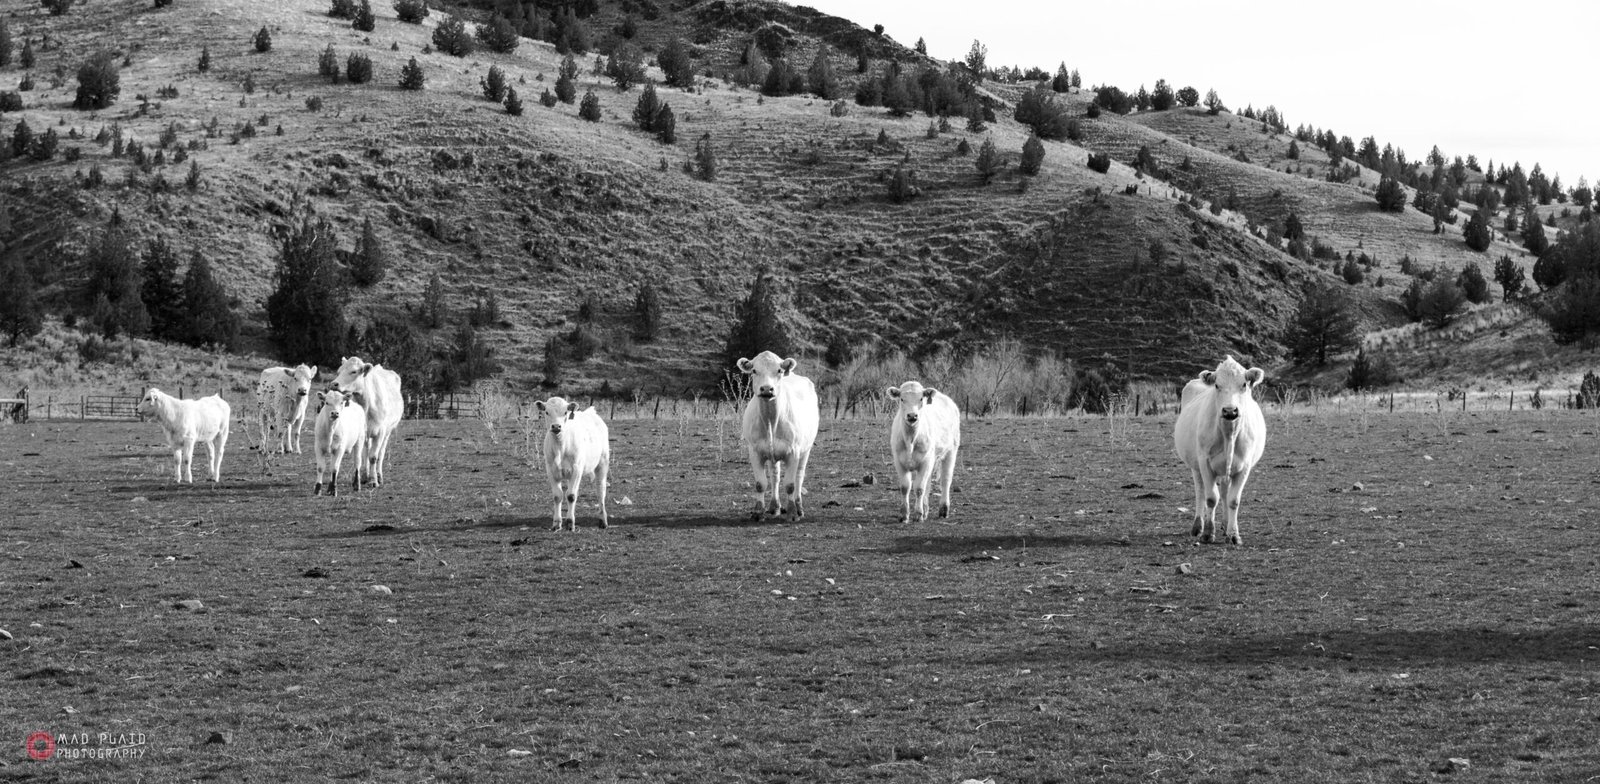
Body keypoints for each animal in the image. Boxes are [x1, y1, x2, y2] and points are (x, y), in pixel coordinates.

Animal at [330, 357, 403, 487]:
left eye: (353, 371)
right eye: (339, 371)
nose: (334, 384)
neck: (366, 405)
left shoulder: (380, 432)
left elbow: (373, 457)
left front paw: (373, 480)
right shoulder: (362, 432)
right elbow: (363, 456)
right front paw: (365, 477)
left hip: (387, 432)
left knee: (381, 453)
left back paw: (379, 476)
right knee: (366, 451)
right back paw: (366, 475)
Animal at [533, 396, 610, 531]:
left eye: (565, 412)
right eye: (547, 412)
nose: (556, 426)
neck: (560, 446)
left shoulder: (577, 469)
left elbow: (571, 496)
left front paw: (570, 522)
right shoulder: (551, 470)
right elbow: (557, 496)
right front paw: (556, 523)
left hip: (603, 462)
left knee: (601, 491)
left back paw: (603, 520)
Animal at [737, 351, 819, 520]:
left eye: (779, 370)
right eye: (754, 370)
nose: (767, 389)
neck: (770, 420)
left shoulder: (794, 452)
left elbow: (790, 485)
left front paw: (793, 513)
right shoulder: (754, 451)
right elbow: (760, 483)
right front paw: (758, 512)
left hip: (806, 449)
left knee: (799, 477)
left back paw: (799, 507)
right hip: (772, 452)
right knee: (775, 476)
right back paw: (774, 506)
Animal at [886, 381, 961, 524]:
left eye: (921, 399)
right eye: (902, 399)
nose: (912, 416)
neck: (911, 438)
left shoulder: (926, 461)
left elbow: (919, 488)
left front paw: (918, 514)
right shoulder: (899, 461)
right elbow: (905, 487)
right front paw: (904, 515)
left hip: (951, 451)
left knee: (945, 480)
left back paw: (943, 510)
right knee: (928, 484)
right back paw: (926, 509)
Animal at [1173, 355, 1267, 545]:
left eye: (1244, 384)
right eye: (1217, 385)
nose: (1230, 410)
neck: (1228, 433)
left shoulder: (1244, 466)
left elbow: (1233, 500)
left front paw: (1233, 534)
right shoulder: (1204, 462)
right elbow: (1211, 498)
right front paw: (1208, 533)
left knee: (1224, 491)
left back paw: (1225, 524)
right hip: (1195, 466)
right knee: (1200, 492)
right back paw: (1198, 526)